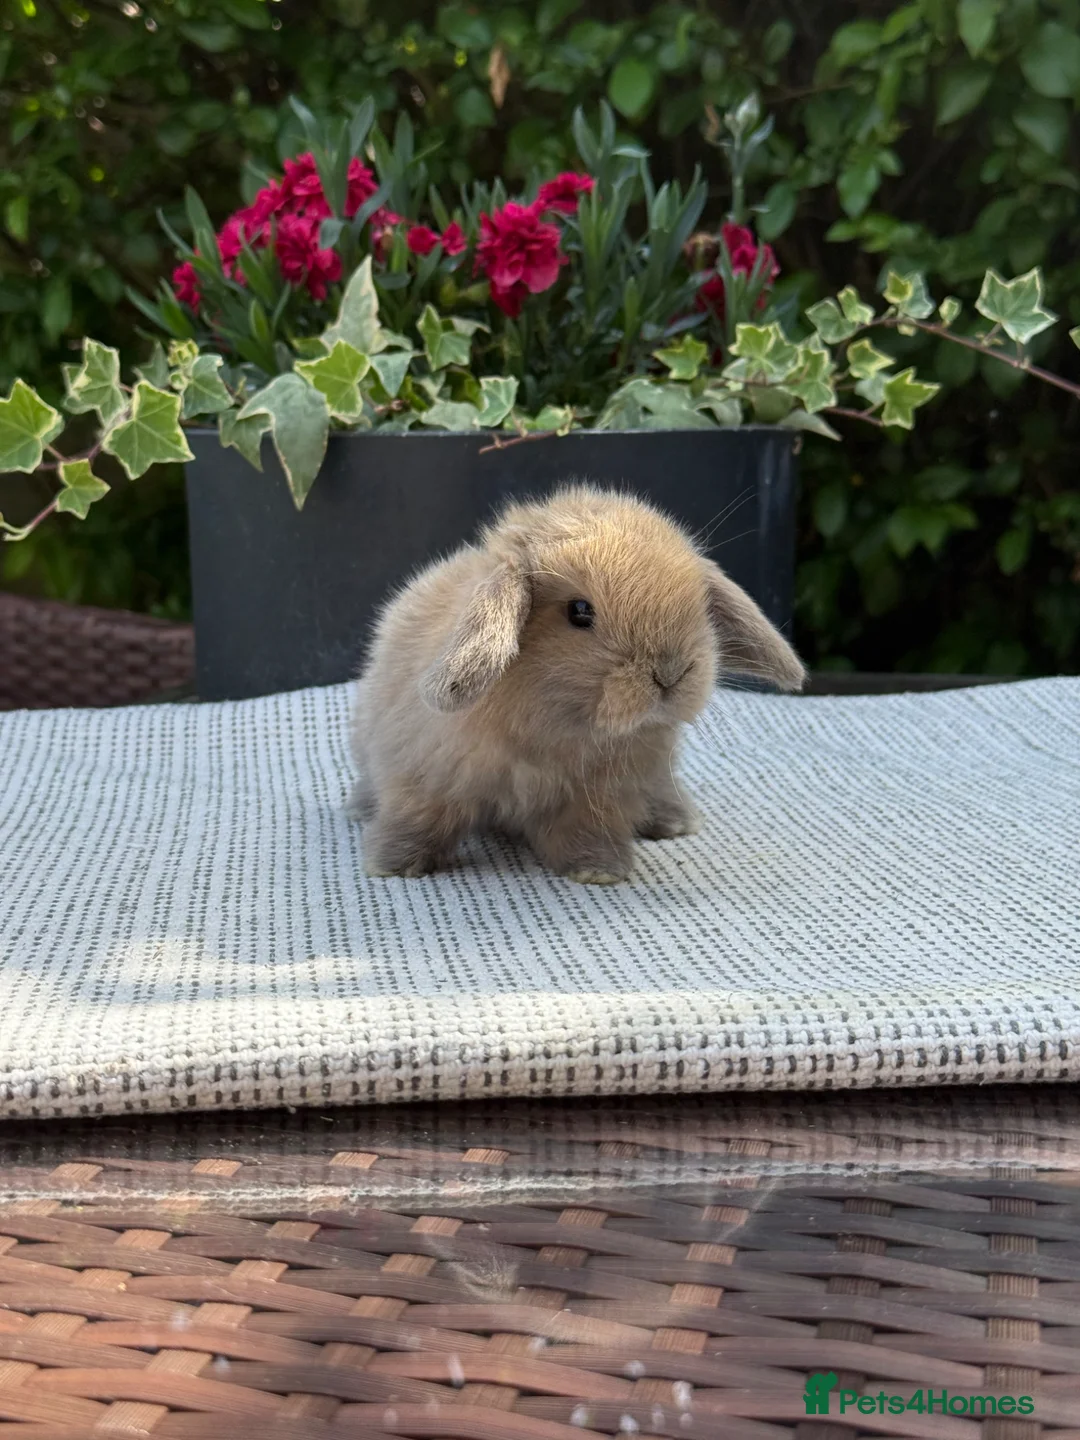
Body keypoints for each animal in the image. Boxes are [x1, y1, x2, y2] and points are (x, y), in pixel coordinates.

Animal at [347, 483, 806, 884]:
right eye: (580, 611)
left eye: (698, 604)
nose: (670, 673)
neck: (551, 728)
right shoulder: (422, 774)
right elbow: (418, 819)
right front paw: (393, 864)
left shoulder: (599, 797)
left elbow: (586, 831)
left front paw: (598, 870)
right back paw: (358, 809)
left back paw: (674, 821)